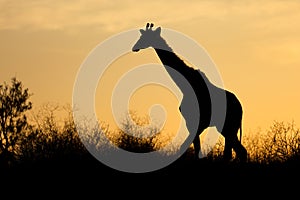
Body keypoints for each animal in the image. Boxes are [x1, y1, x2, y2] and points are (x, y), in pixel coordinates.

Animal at [132, 22, 247, 162]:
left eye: (144, 37)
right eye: (141, 36)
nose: (134, 48)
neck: (186, 85)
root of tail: (240, 108)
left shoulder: (199, 123)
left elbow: (190, 150)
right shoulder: (192, 123)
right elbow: (195, 150)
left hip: (229, 126)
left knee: (233, 153)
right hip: (227, 128)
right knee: (239, 152)